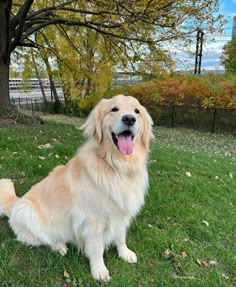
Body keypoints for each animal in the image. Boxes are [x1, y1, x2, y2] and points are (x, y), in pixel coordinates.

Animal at [0, 94, 154, 282]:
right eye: (114, 109)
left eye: (137, 111)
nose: (129, 119)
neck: (117, 166)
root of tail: (15, 202)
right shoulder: (92, 220)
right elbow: (96, 248)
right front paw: (99, 270)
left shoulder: (121, 214)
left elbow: (120, 236)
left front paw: (125, 253)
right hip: (26, 210)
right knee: (43, 238)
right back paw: (59, 246)